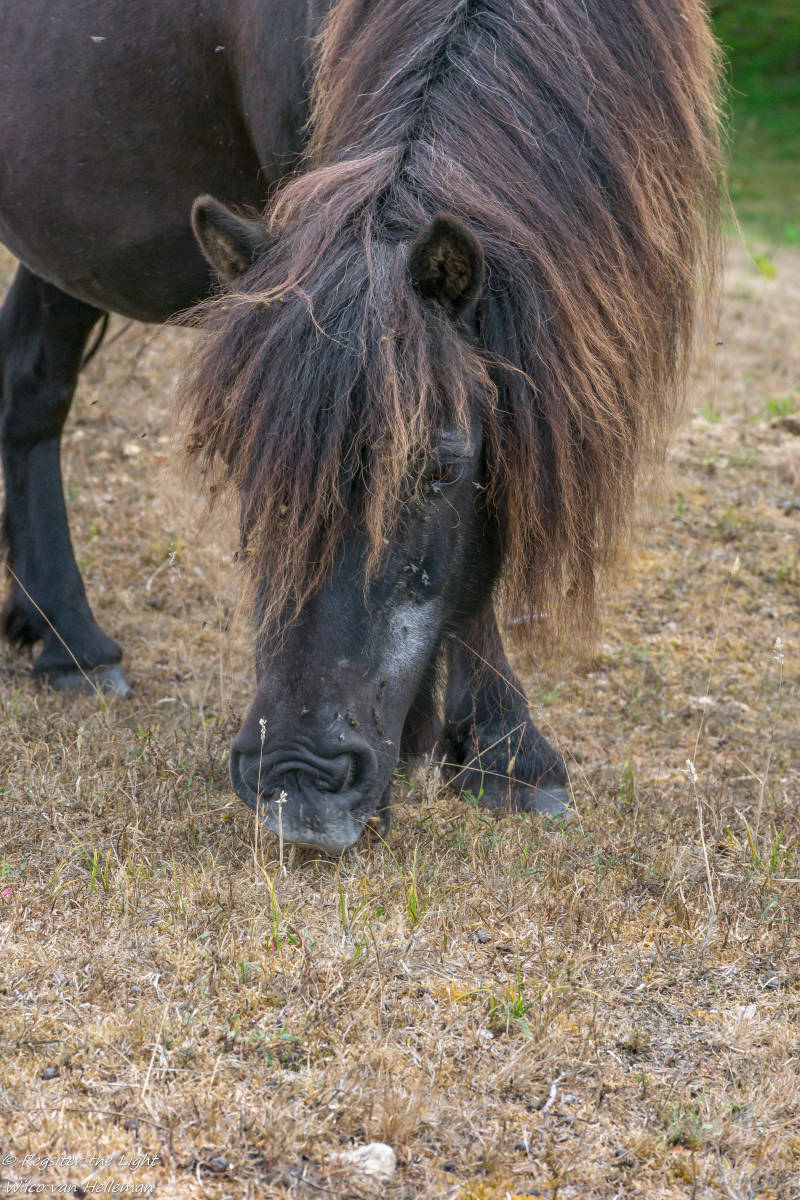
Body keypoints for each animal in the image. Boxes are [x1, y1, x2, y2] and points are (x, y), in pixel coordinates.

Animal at [0, 0, 721, 852]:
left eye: (442, 468)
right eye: (243, 462)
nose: (298, 783)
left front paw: (495, 752)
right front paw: (500, 750)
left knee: (29, 389)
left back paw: (56, 634)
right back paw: (71, 640)